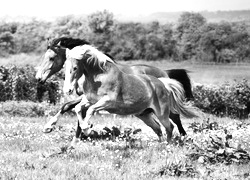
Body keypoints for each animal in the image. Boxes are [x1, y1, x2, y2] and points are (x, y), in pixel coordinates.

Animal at [35, 37, 193, 136]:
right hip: (145, 111)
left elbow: (68, 107)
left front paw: (81, 132)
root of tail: (165, 73)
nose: (38, 78)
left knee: (175, 118)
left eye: (51, 58)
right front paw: (49, 127)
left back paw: (183, 137)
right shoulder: (86, 97)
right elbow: (71, 108)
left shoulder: (86, 97)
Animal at [64, 44, 197, 145]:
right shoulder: (89, 100)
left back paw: (168, 145)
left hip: (162, 113)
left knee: (170, 126)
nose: (68, 90)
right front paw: (84, 127)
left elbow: (91, 110)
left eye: (75, 68)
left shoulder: (107, 101)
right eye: (64, 67)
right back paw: (161, 145)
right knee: (158, 128)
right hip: (144, 115)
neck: (99, 77)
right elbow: (78, 108)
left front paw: (87, 128)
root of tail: (163, 83)